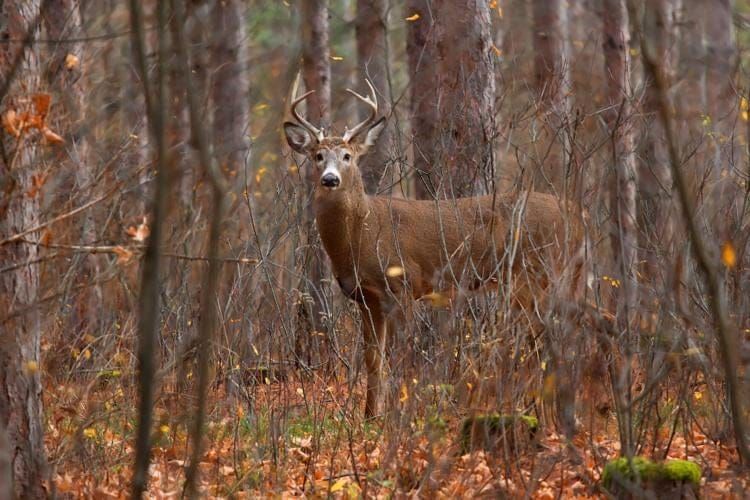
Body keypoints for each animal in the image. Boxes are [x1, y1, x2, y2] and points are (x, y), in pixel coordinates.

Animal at [284, 80, 585, 419]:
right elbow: (373, 360)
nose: (330, 179)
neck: (362, 232)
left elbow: (401, 357)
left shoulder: (403, 285)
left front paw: (399, 413)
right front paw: (370, 416)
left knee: (547, 338)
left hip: (537, 273)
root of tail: (578, 217)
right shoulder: (367, 299)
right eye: (318, 155)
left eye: (347, 156)